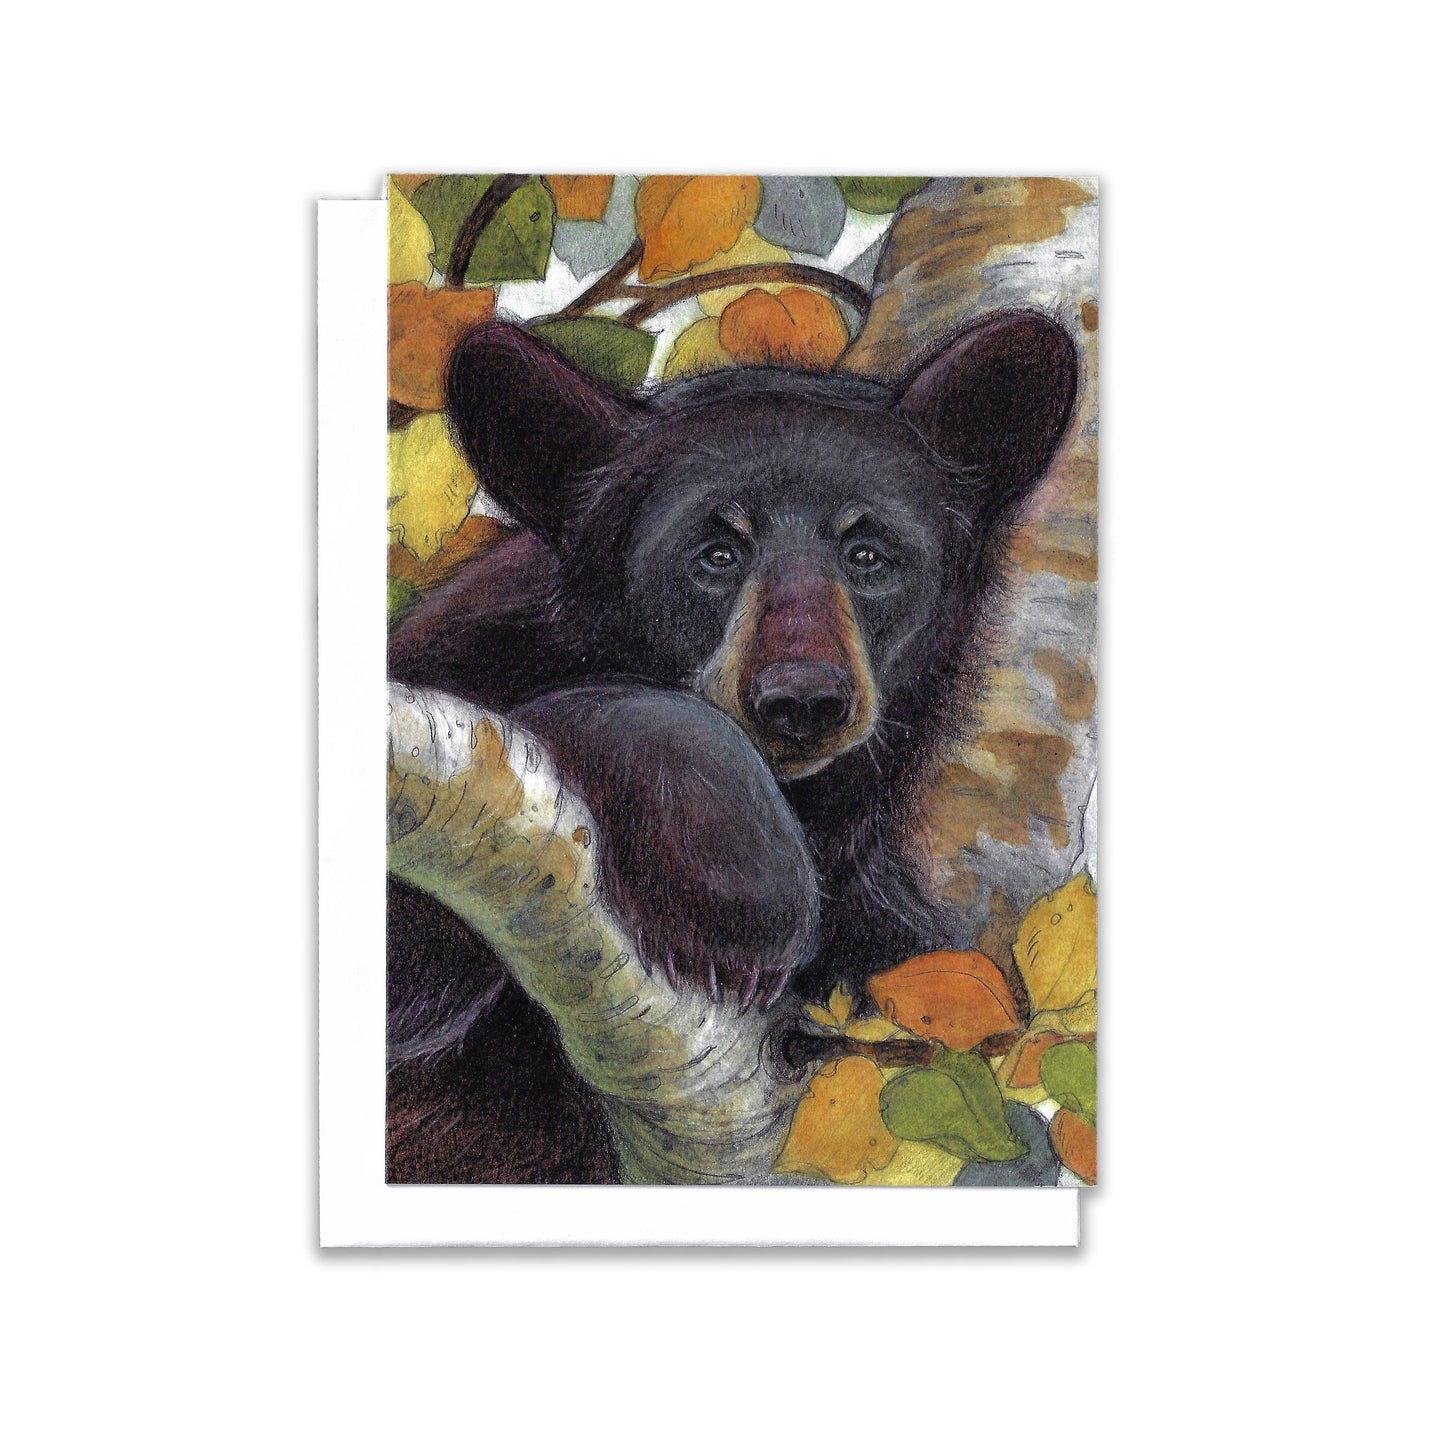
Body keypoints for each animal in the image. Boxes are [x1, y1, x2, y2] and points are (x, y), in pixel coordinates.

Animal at [386, 311, 1079, 1184]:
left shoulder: (886, 928)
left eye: (868, 553)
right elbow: (413, 953)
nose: (802, 698)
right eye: (715, 553)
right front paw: (738, 895)